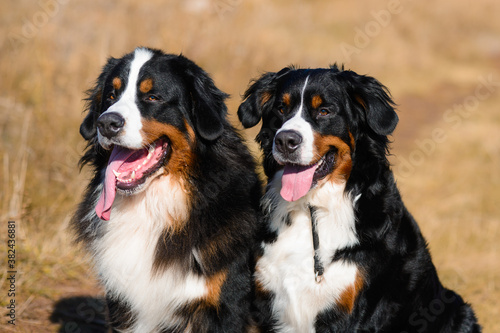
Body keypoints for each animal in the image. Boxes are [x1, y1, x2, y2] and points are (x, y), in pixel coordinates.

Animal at [73, 47, 264, 332]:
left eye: (153, 97)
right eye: (110, 96)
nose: (106, 123)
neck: (153, 204)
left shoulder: (225, 305)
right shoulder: (123, 304)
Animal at [238, 65, 480, 332]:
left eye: (324, 111)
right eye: (281, 108)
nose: (285, 140)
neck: (313, 207)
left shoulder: (355, 309)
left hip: (457, 309)